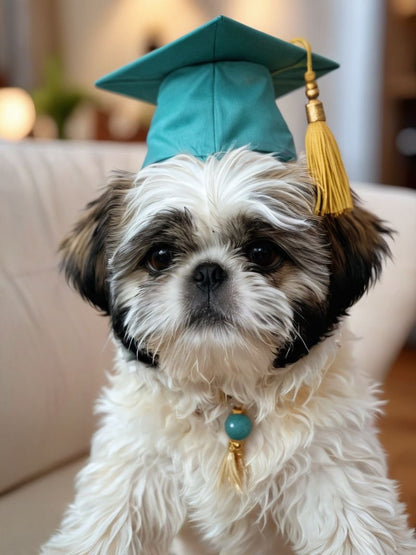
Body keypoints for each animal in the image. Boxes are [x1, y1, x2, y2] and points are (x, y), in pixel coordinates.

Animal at [43, 149, 416, 555]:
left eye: (262, 253)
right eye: (160, 256)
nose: (208, 271)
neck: (227, 396)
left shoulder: (331, 463)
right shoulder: (135, 463)